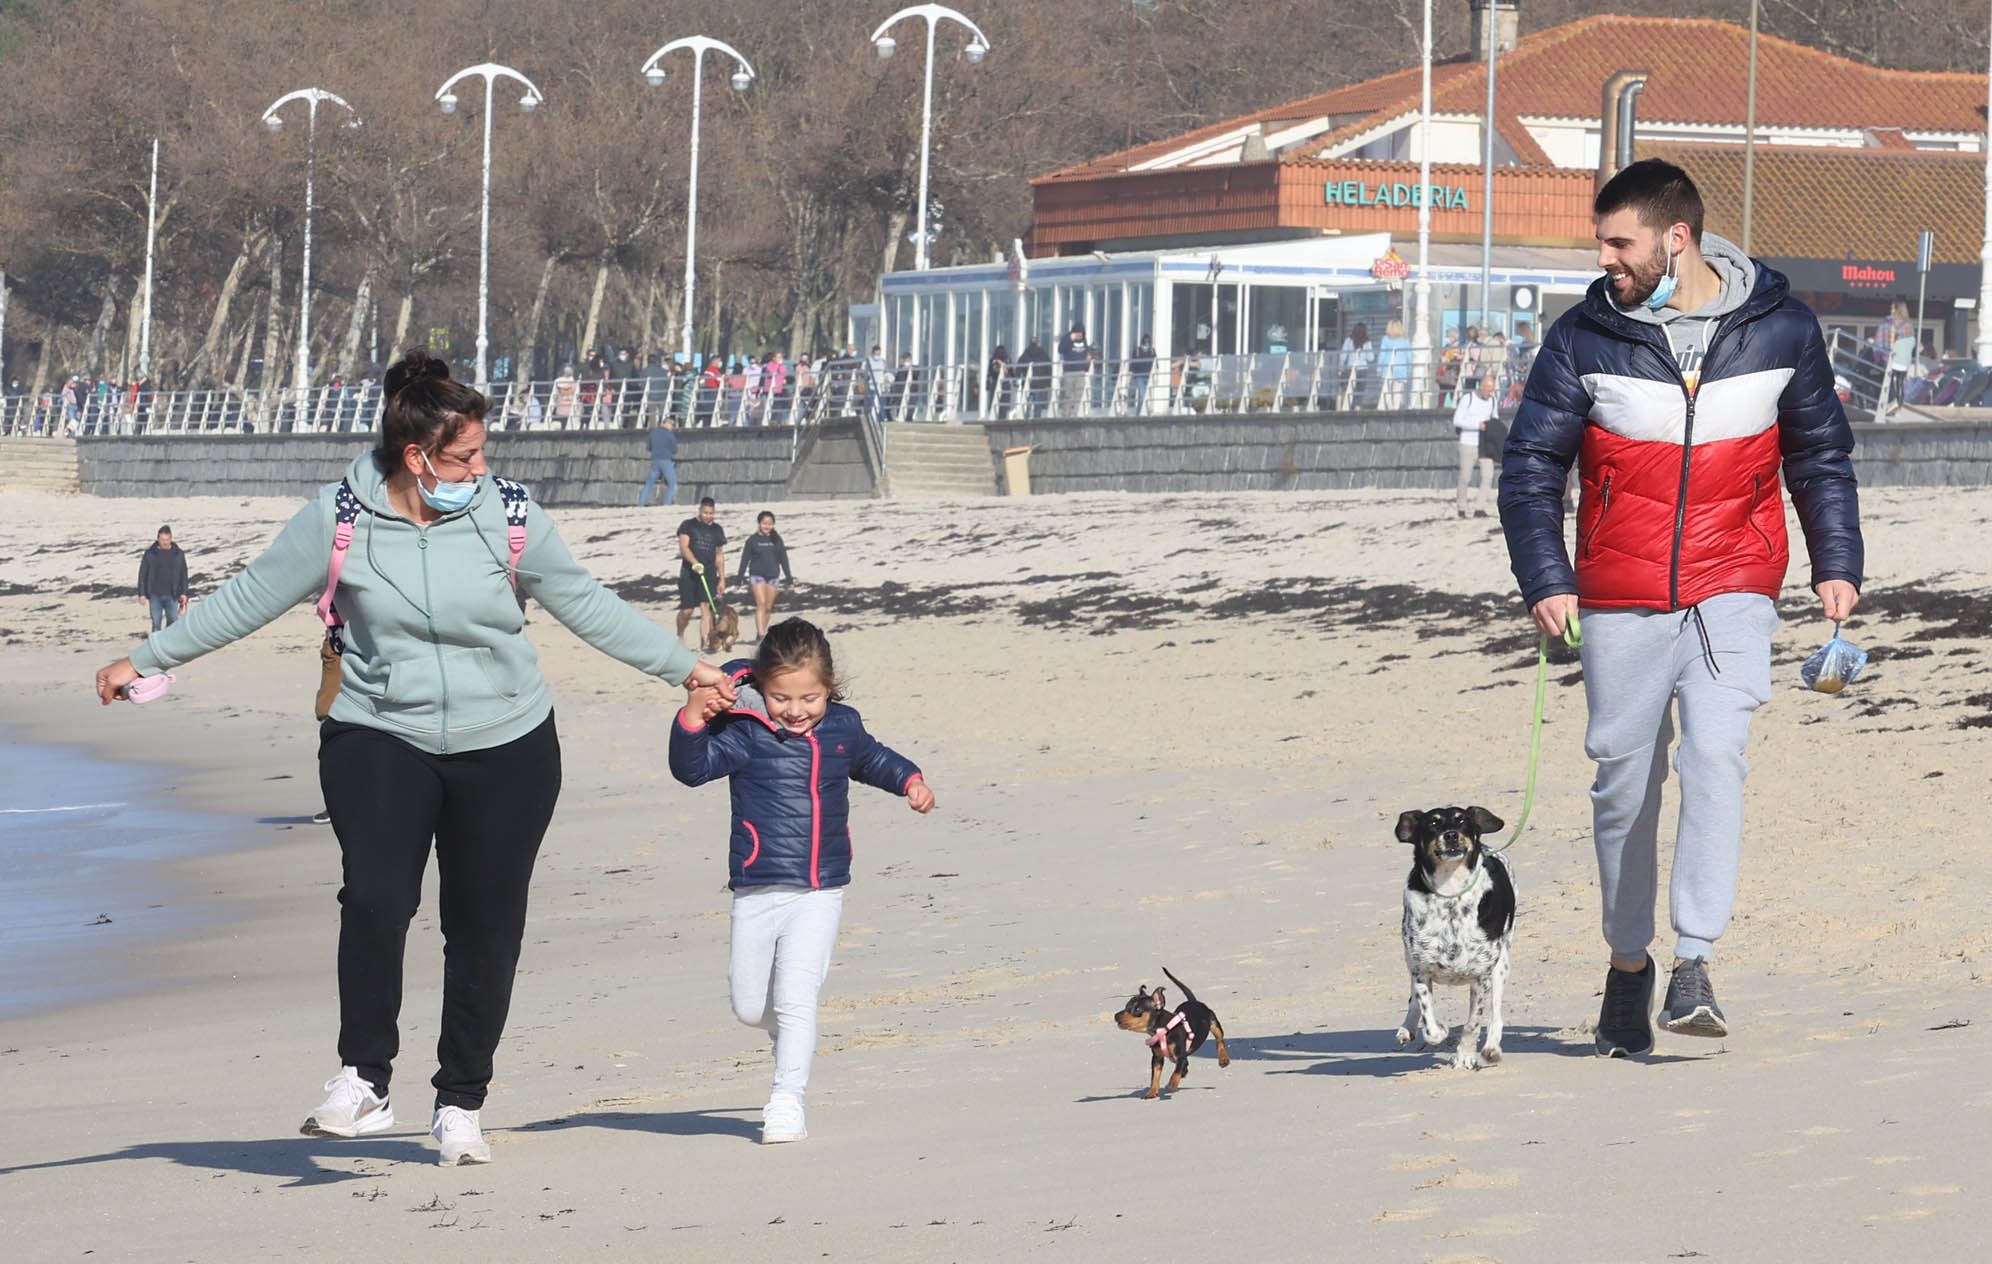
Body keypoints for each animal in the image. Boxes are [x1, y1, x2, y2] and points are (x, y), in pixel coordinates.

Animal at [1107, 967, 1227, 1098]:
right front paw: (1152, 1092)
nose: (1115, 1016)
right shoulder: (1157, 1058)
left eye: (1137, 1009)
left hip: (1214, 1023)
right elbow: (1155, 1076)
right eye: (1126, 1006)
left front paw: (1172, 1084)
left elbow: (1176, 1071)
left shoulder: (1180, 1056)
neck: (1163, 1031)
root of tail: (1194, 1002)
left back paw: (1223, 1059)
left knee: (1219, 1039)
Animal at [1394, 812, 1513, 1066]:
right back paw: (1407, 1028)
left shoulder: (1481, 976)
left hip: (1501, 966)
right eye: (1433, 823)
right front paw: (1441, 1030)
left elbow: (1473, 1024)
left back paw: (1491, 1048)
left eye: (1462, 820)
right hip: (1410, 958)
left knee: (1496, 1011)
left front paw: (1465, 1055)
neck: (1450, 893)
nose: (1451, 835)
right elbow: (1429, 1023)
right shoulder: (1421, 969)